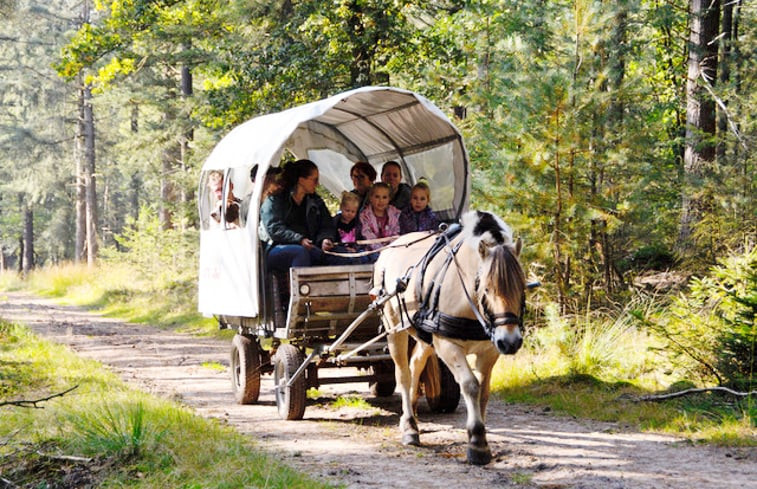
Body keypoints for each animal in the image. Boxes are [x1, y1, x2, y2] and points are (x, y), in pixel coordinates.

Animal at [372, 210, 524, 466]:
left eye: (522, 288)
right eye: (486, 289)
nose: (511, 342)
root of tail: (389, 247)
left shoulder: (489, 350)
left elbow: (483, 391)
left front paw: (482, 439)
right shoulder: (447, 345)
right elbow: (470, 385)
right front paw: (477, 442)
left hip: (425, 334)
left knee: (415, 364)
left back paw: (411, 414)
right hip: (395, 329)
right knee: (403, 374)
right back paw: (410, 427)